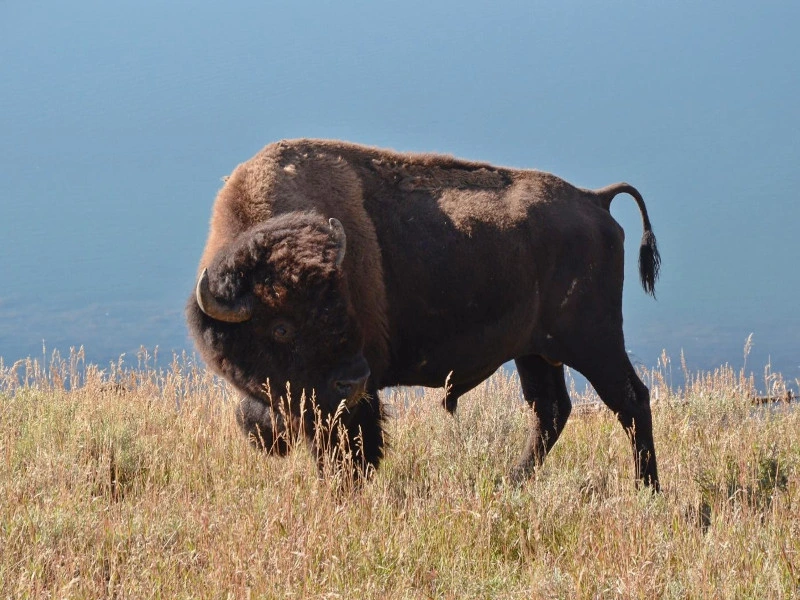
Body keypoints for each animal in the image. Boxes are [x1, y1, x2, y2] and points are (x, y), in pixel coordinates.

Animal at [187, 139, 661, 489]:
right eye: (281, 328)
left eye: (342, 302)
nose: (352, 380)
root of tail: (595, 202)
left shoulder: (349, 400)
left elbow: (348, 445)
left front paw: (345, 488)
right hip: (535, 353)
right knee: (550, 410)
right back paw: (510, 482)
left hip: (593, 343)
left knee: (630, 400)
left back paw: (647, 490)